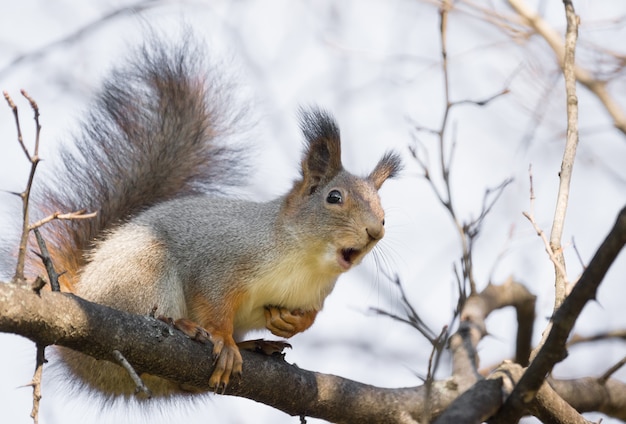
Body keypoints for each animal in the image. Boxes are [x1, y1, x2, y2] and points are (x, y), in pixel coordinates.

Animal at [28, 35, 400, 398]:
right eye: (334, 198)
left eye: (384, 215)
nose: (375, 232)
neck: (305, 261)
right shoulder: (220, 260)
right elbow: (213, 302)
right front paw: (224, 340)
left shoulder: (314, 296)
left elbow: (308, 317)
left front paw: (291, 324)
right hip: (143, 273)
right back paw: (183, 326)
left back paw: (254, 345)